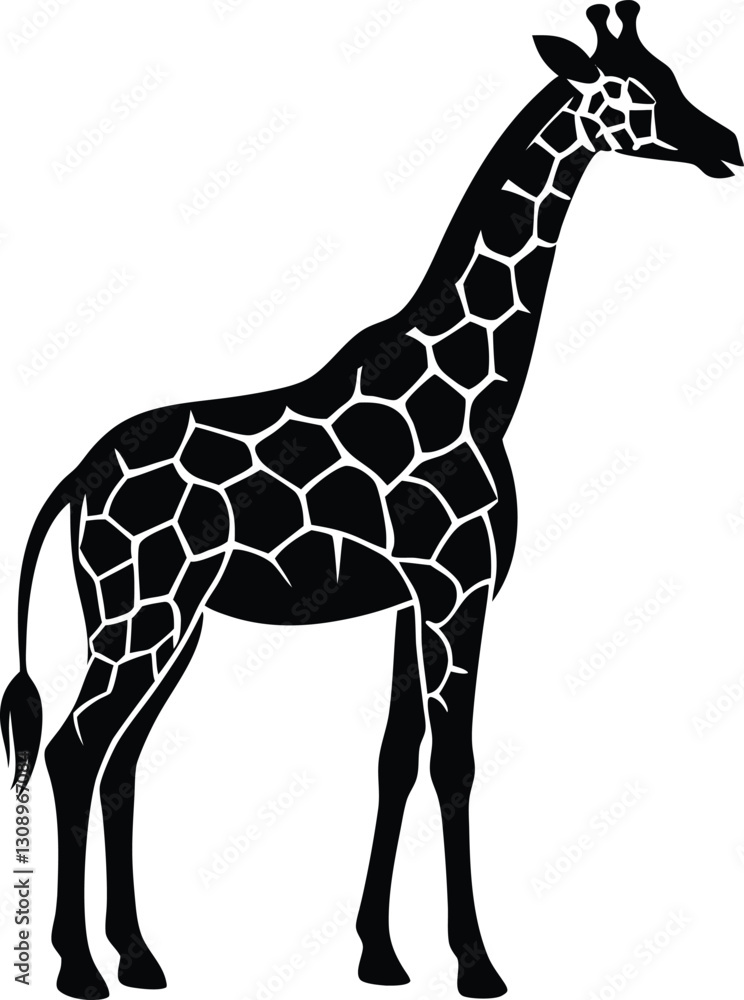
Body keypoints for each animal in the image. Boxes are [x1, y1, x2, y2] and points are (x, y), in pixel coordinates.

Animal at [1, 4, 740, 998]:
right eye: (632, 89)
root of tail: (76, 476)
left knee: (120, 758)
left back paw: (140, 956)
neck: (478, 390)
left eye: (669, 71)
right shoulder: (457, 591)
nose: (726, 144)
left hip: (166, 619)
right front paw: (477, 964)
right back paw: (81, 966)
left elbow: (396, 757)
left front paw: (380, 954)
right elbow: (455, 762)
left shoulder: (410, 600)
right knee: (76, 748)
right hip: (141, 613)